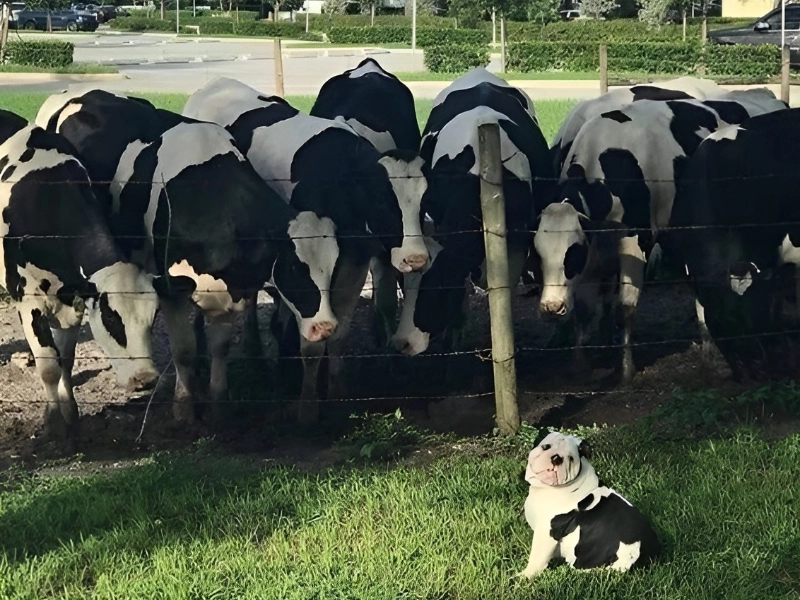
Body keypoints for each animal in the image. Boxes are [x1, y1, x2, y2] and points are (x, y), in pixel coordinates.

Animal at [0, 120, 161, 438]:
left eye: (155, 315)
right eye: (111, 318)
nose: (146, 378)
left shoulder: (71, 300)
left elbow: (66, 358)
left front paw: (70, 413)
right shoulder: (27, 298)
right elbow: (48, 364)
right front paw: (52, 422)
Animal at [36, 89, 341, 425]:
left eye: (333, 269)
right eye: (294, 268)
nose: (326, 327)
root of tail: (79, 94)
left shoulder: (230, 292)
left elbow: (220, 346)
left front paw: (219, 403)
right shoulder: (170, 289)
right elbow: (183, 350)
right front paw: (184, 406)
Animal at [516, 431, 661, 578]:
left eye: (570, 458)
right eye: (545, 447)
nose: (556, 458)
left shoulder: (546, 533)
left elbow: (537, 559)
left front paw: (524, 577)